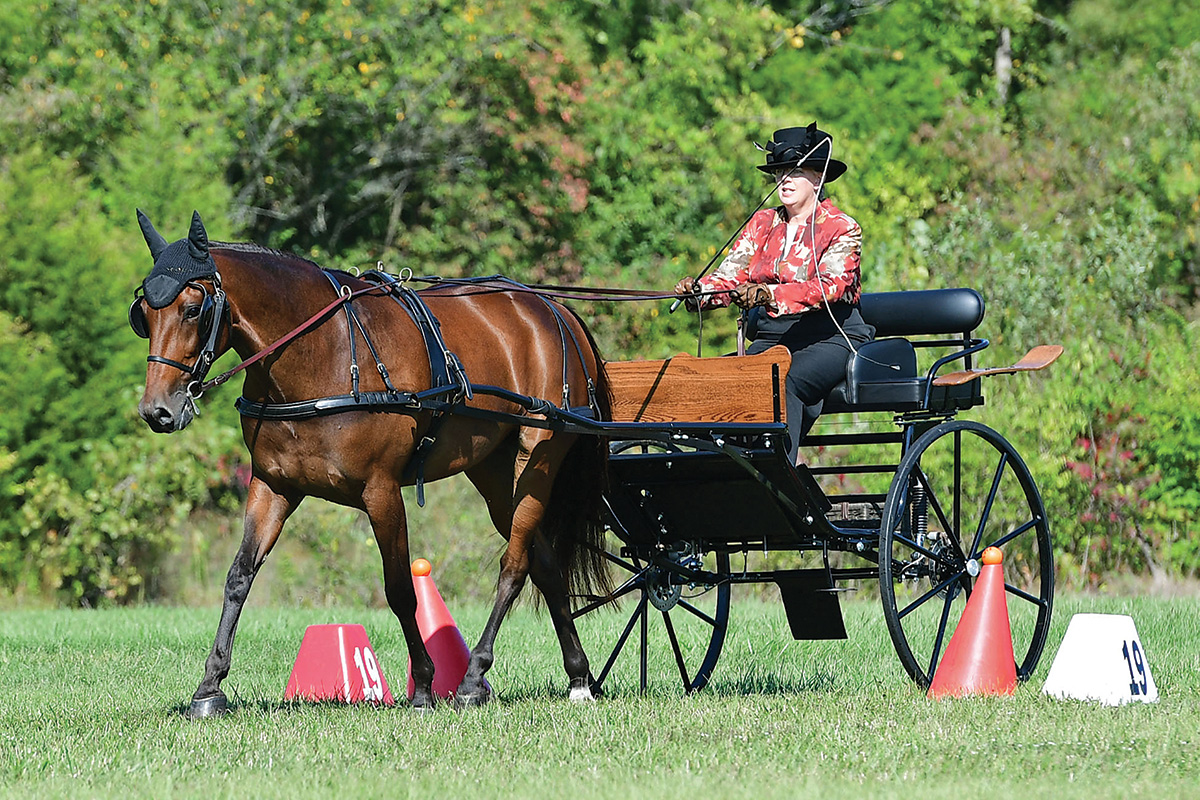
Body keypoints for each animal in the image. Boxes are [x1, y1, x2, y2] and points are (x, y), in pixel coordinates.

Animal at [131, 209, 609, 714]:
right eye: (143, 314)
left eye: (192, 309)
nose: (158, 410)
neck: (322, 353)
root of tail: (554, 309)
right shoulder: (272, 485)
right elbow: (239, 577)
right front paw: (210, 686)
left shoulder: (381, 490)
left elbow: (400, 589)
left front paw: (423, 686)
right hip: (495, 472)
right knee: (546, 564)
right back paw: (578, 676)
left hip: (539, 455)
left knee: (514, 566)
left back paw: (473, 676)